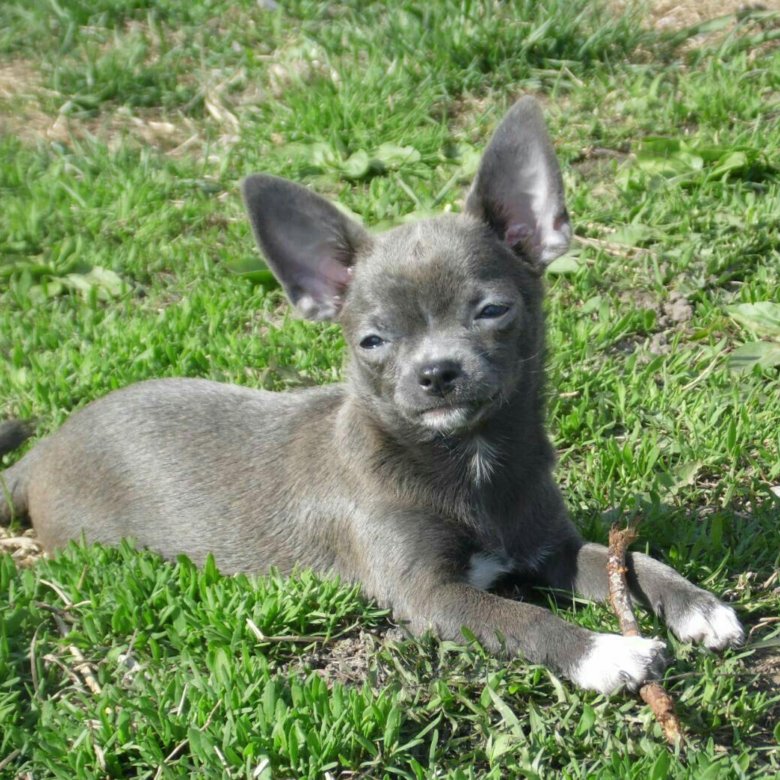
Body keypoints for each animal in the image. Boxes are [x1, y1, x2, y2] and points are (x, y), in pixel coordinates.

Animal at [0, 97, 743, 694]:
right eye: (372, 342)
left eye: (493, 310)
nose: (436, 372)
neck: (468, 461)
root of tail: (44, 452)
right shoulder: (432, 596)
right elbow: (523, 617)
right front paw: (610, 653)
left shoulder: (549, 546)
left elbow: (629, 559)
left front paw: (696, 604)